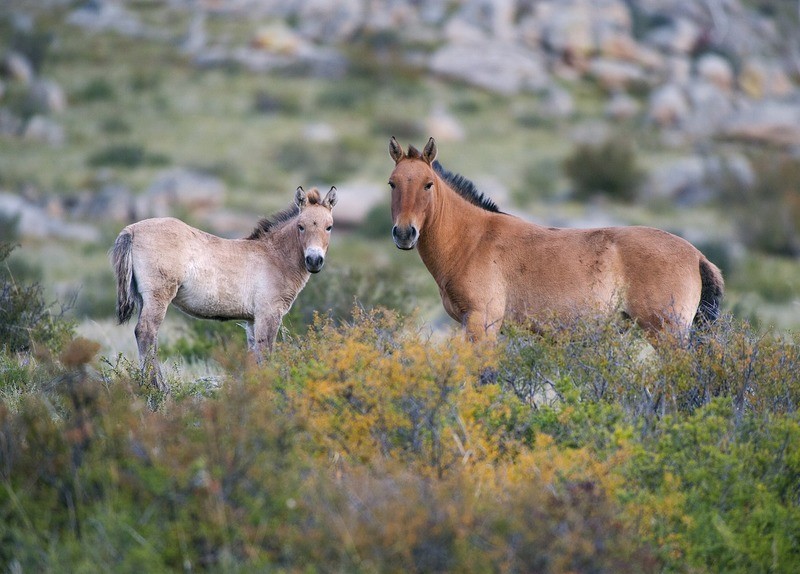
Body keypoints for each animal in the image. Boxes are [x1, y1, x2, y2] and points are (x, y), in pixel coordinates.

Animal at [111, 185, 337, 392]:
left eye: (329, 227)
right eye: (301, 226)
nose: (314, 260)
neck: (275, 256)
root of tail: (131, 230)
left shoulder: (252, 320)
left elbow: (254, 353)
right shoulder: (269, 314)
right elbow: (266, 351)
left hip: (143, 299)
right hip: (158, 296)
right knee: (146, 331)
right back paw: (157, 387)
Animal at [388, 137, 724, 342]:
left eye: (428, 184)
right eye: (392, 183)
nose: (404, 233)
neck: (472, 240)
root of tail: (697, 256)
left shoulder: (482, 323)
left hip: (667, 334)